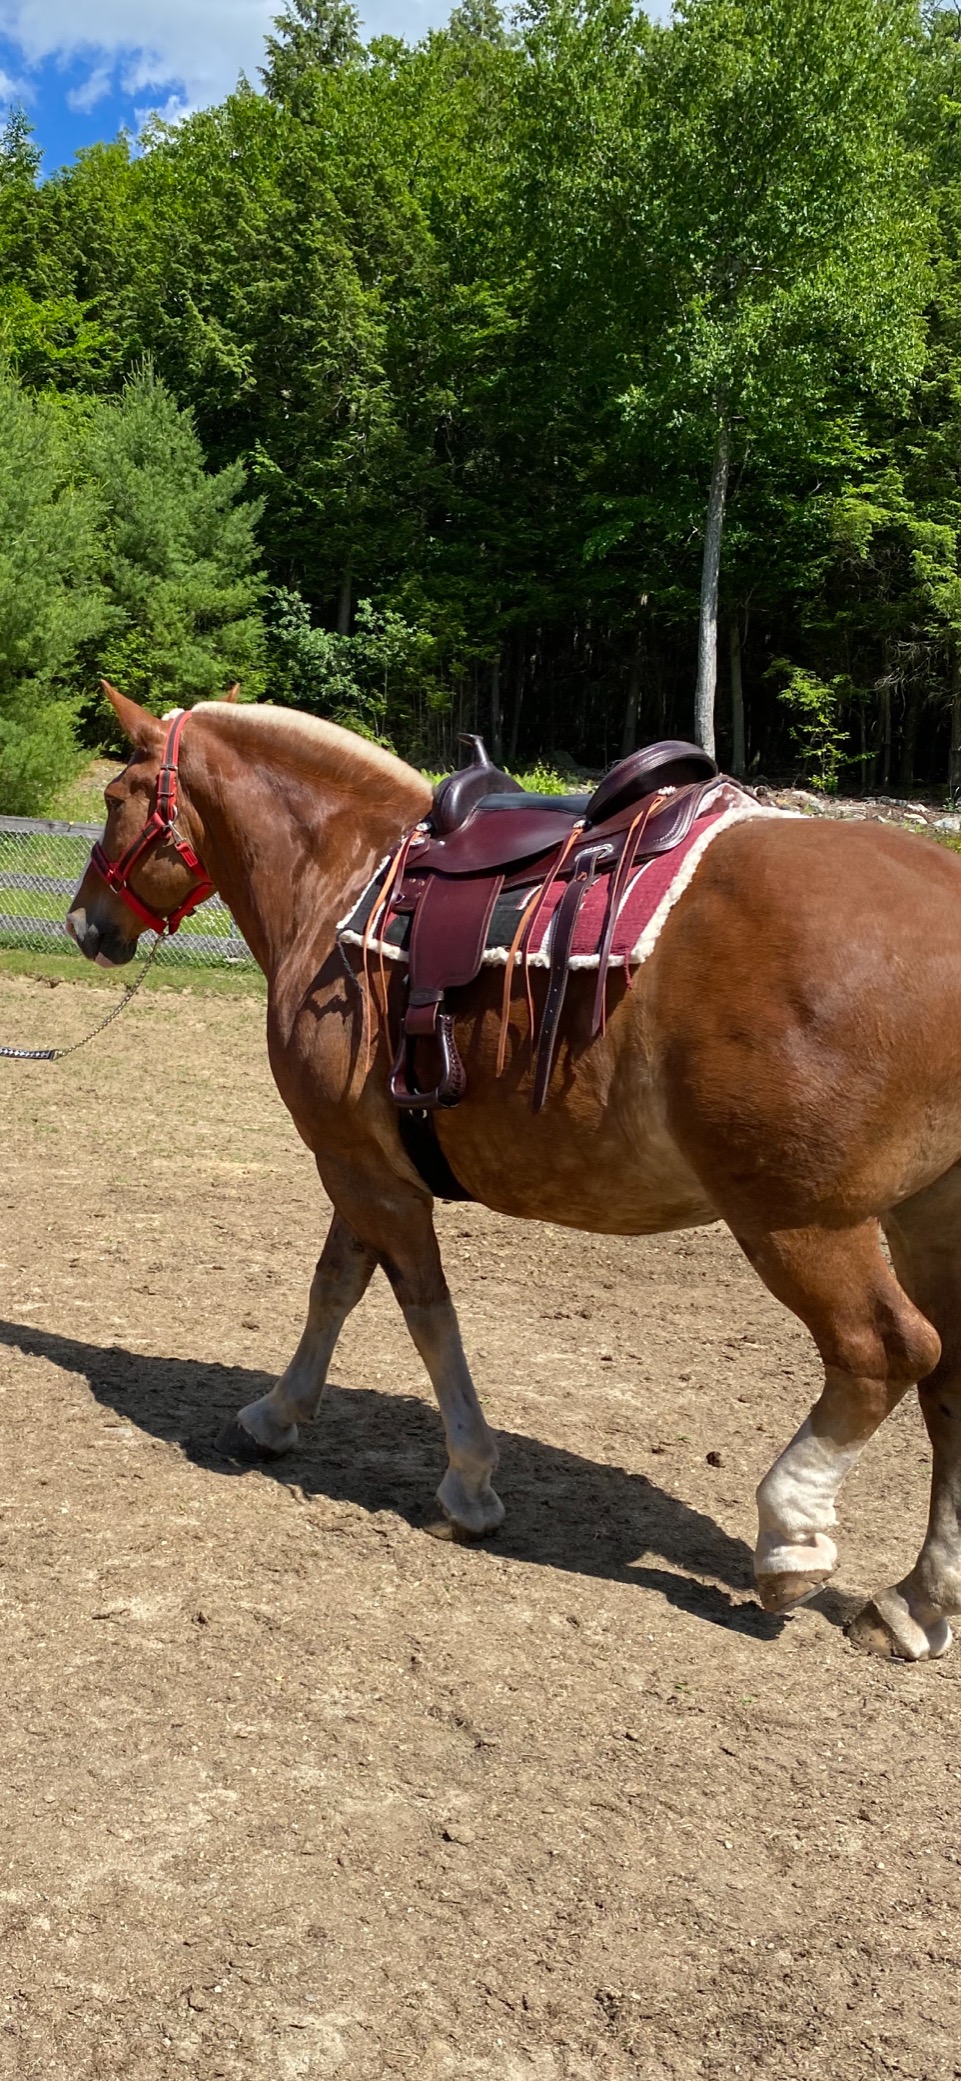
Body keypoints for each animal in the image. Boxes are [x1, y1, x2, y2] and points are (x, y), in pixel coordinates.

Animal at [64, 683, 961, 1664]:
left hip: (798, 1221)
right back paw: (914, 1600)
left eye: (114, 795)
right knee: (949, 1378)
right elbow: (335, 1286)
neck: (340, 876)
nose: (83, 922)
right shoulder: (364, 1161)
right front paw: (278, 1413)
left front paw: (468, 1480)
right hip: (927, 1216)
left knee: (883, 1352)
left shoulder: (363, 1172)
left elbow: (424, 1312)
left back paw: (790, 1539)